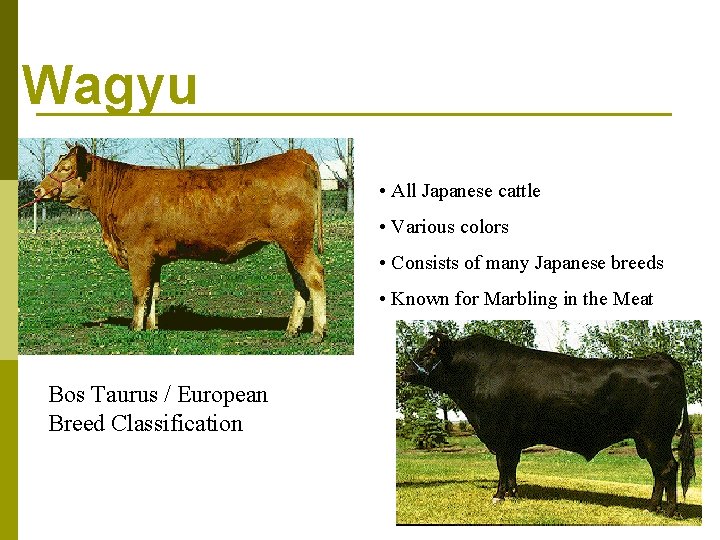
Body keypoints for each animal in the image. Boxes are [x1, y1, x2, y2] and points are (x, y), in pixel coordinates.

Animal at [33, 145, 326, 343]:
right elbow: (152, 292)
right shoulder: (154, 257)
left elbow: (139, 292)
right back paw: (292, 330)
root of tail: (295, 155)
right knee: (300, 283)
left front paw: (135, 327)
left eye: (65, 169)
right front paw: (152, 326)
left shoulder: (138, 252)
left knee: (314, 277)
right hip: (291, 245)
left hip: (297, 242)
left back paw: (318, 332)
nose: (37, 190)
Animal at [401, 332, 696, 517]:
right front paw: (513, 493)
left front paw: (499, 495)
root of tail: (659, 358)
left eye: (427, 353)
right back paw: (653, 507)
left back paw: (668, 511)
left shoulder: (501, 434)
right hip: (647, 439)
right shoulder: (512, 439)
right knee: (660, 472)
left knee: (667, 468)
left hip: (654, 436)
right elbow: (511, 467)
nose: (404, 371)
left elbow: (502, 466)